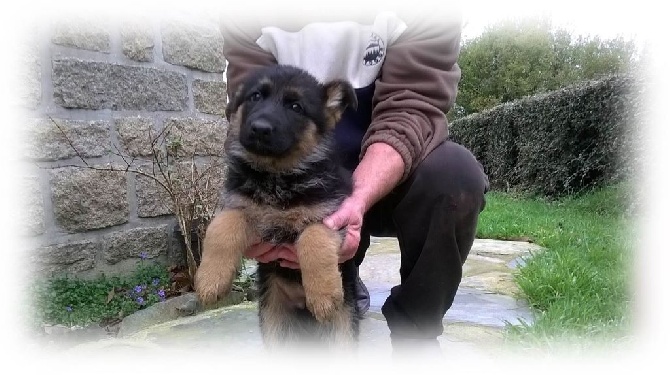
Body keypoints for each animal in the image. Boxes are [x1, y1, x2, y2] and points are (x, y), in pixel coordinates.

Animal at [196, 64, 362, 350]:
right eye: (255, 96)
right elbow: (222, 226)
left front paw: (324, 295)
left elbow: (314, 238)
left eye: (295, 106)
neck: (276, 176)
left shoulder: (331, 215)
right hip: (273, 318)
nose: (260, 129)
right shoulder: (243, 208)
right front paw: (210, 279)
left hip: (343, 325)